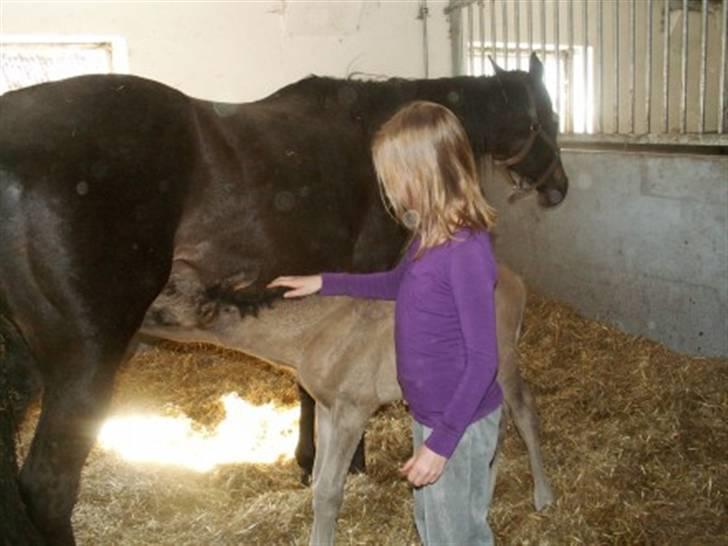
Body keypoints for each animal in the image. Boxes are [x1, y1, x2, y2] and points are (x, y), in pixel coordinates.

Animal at [0, 53, 564, 540]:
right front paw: (348, 461)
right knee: (48, 488)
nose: (558, 188)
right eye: (550, 119)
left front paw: (308, 460)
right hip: (87, 359)